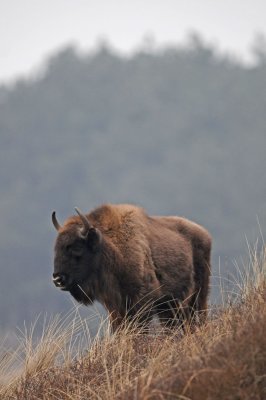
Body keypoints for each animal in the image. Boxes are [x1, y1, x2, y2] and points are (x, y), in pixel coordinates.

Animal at [52, 203, 211, 332]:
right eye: (57, 249)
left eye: (77, 247)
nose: (58, 279)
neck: (110, 248)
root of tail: (204, 233)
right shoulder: (115, 306)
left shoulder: (142, 301)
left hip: (198, 295)